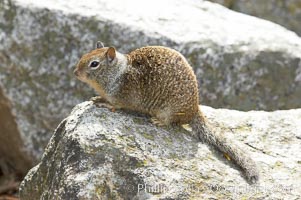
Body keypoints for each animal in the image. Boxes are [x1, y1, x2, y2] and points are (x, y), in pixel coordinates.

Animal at [74, 42, 258, 184]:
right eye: (84, 55)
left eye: (94, 64)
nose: (75, 73)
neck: (117, 73)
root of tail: (195, 110)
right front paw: (97, 97)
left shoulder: (121, 98)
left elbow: (115, 105)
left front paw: (104, 103)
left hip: (169, 112)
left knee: (171, 123)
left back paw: (159, 122)